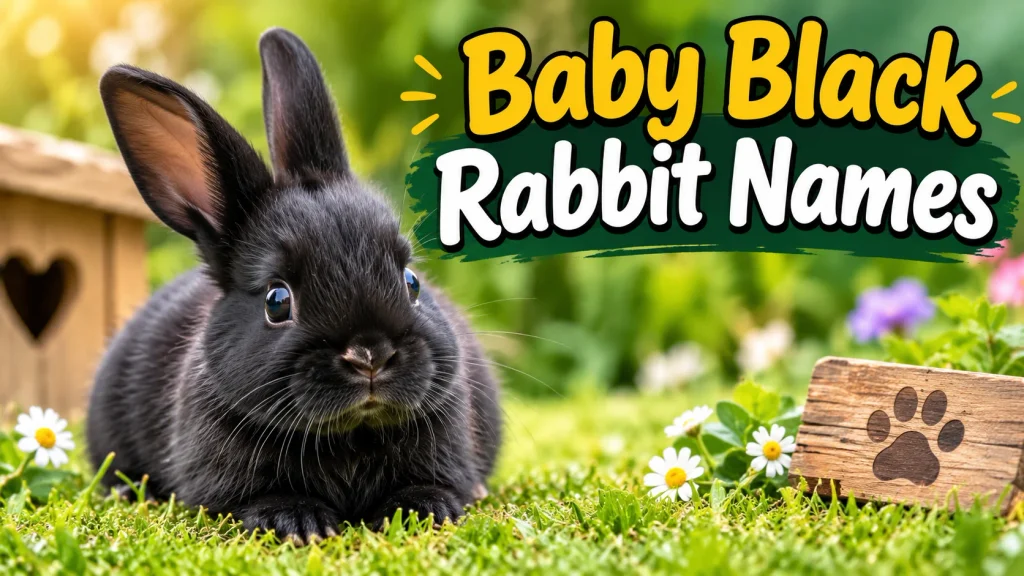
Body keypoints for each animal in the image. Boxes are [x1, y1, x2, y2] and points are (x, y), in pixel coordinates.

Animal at [86, 27, 501, 543]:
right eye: (276, 300)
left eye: (410, 282)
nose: (370, 355)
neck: (351, 433)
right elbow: (259, 498)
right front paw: (297, 523)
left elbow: (432, 486)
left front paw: (421, 511)